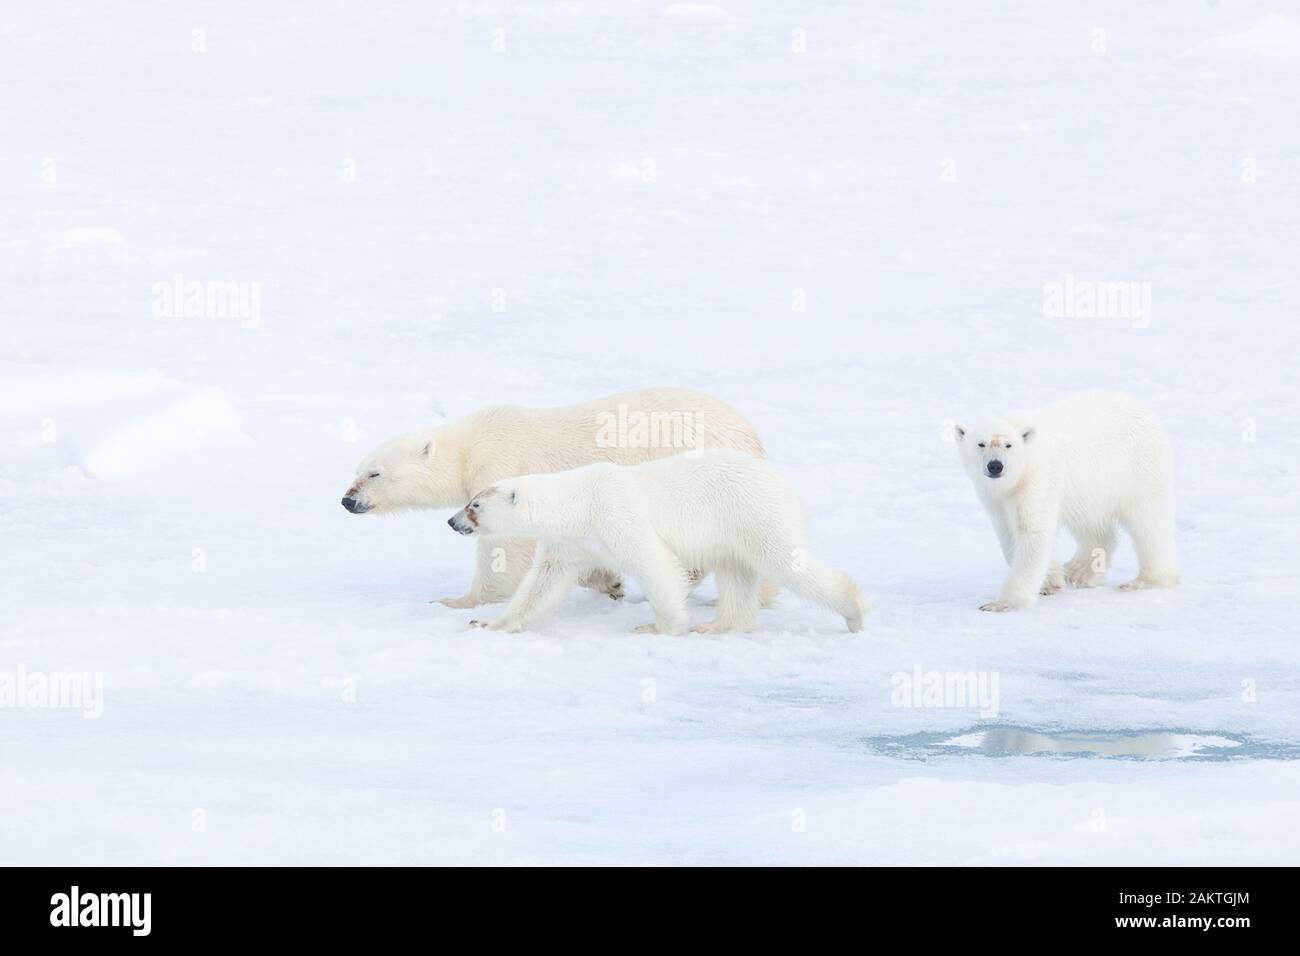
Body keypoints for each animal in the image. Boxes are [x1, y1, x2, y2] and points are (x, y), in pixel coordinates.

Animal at [340, 388, 765, 607]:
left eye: (374, 473)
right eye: (356, 470)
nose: (348, 501)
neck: (469, 448)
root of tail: (751, 436)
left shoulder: (502, 464)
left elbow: (504, 547)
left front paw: (458, 601)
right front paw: (609, 582)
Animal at [446, 449, 869, 635]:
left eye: (474, 505)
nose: (452, 522)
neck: (578, 502)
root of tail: (786, 486)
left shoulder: (615, 516)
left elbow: (654, 563)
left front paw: (661, 626)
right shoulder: (569, 543)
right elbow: (542, 584)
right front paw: (488, 622)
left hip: (754, 514)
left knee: (786, 562)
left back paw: (854, 612)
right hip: (732, 534)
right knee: (736, 573)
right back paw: (719, 625)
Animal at [954, 389, 1180, 612]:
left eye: (1008, 445)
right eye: (980, 444)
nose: (995, 466)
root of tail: (1146, 411)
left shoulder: (1037, 481)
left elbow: (1033, 532)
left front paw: (1003, 603)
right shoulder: (995, 498)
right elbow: (1008, 534)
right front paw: (1052, 578)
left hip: (1138, 468)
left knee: (1148, 522)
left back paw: (1145, 580)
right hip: (1089, 491)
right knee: (1093, 525)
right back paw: (1079, 570)